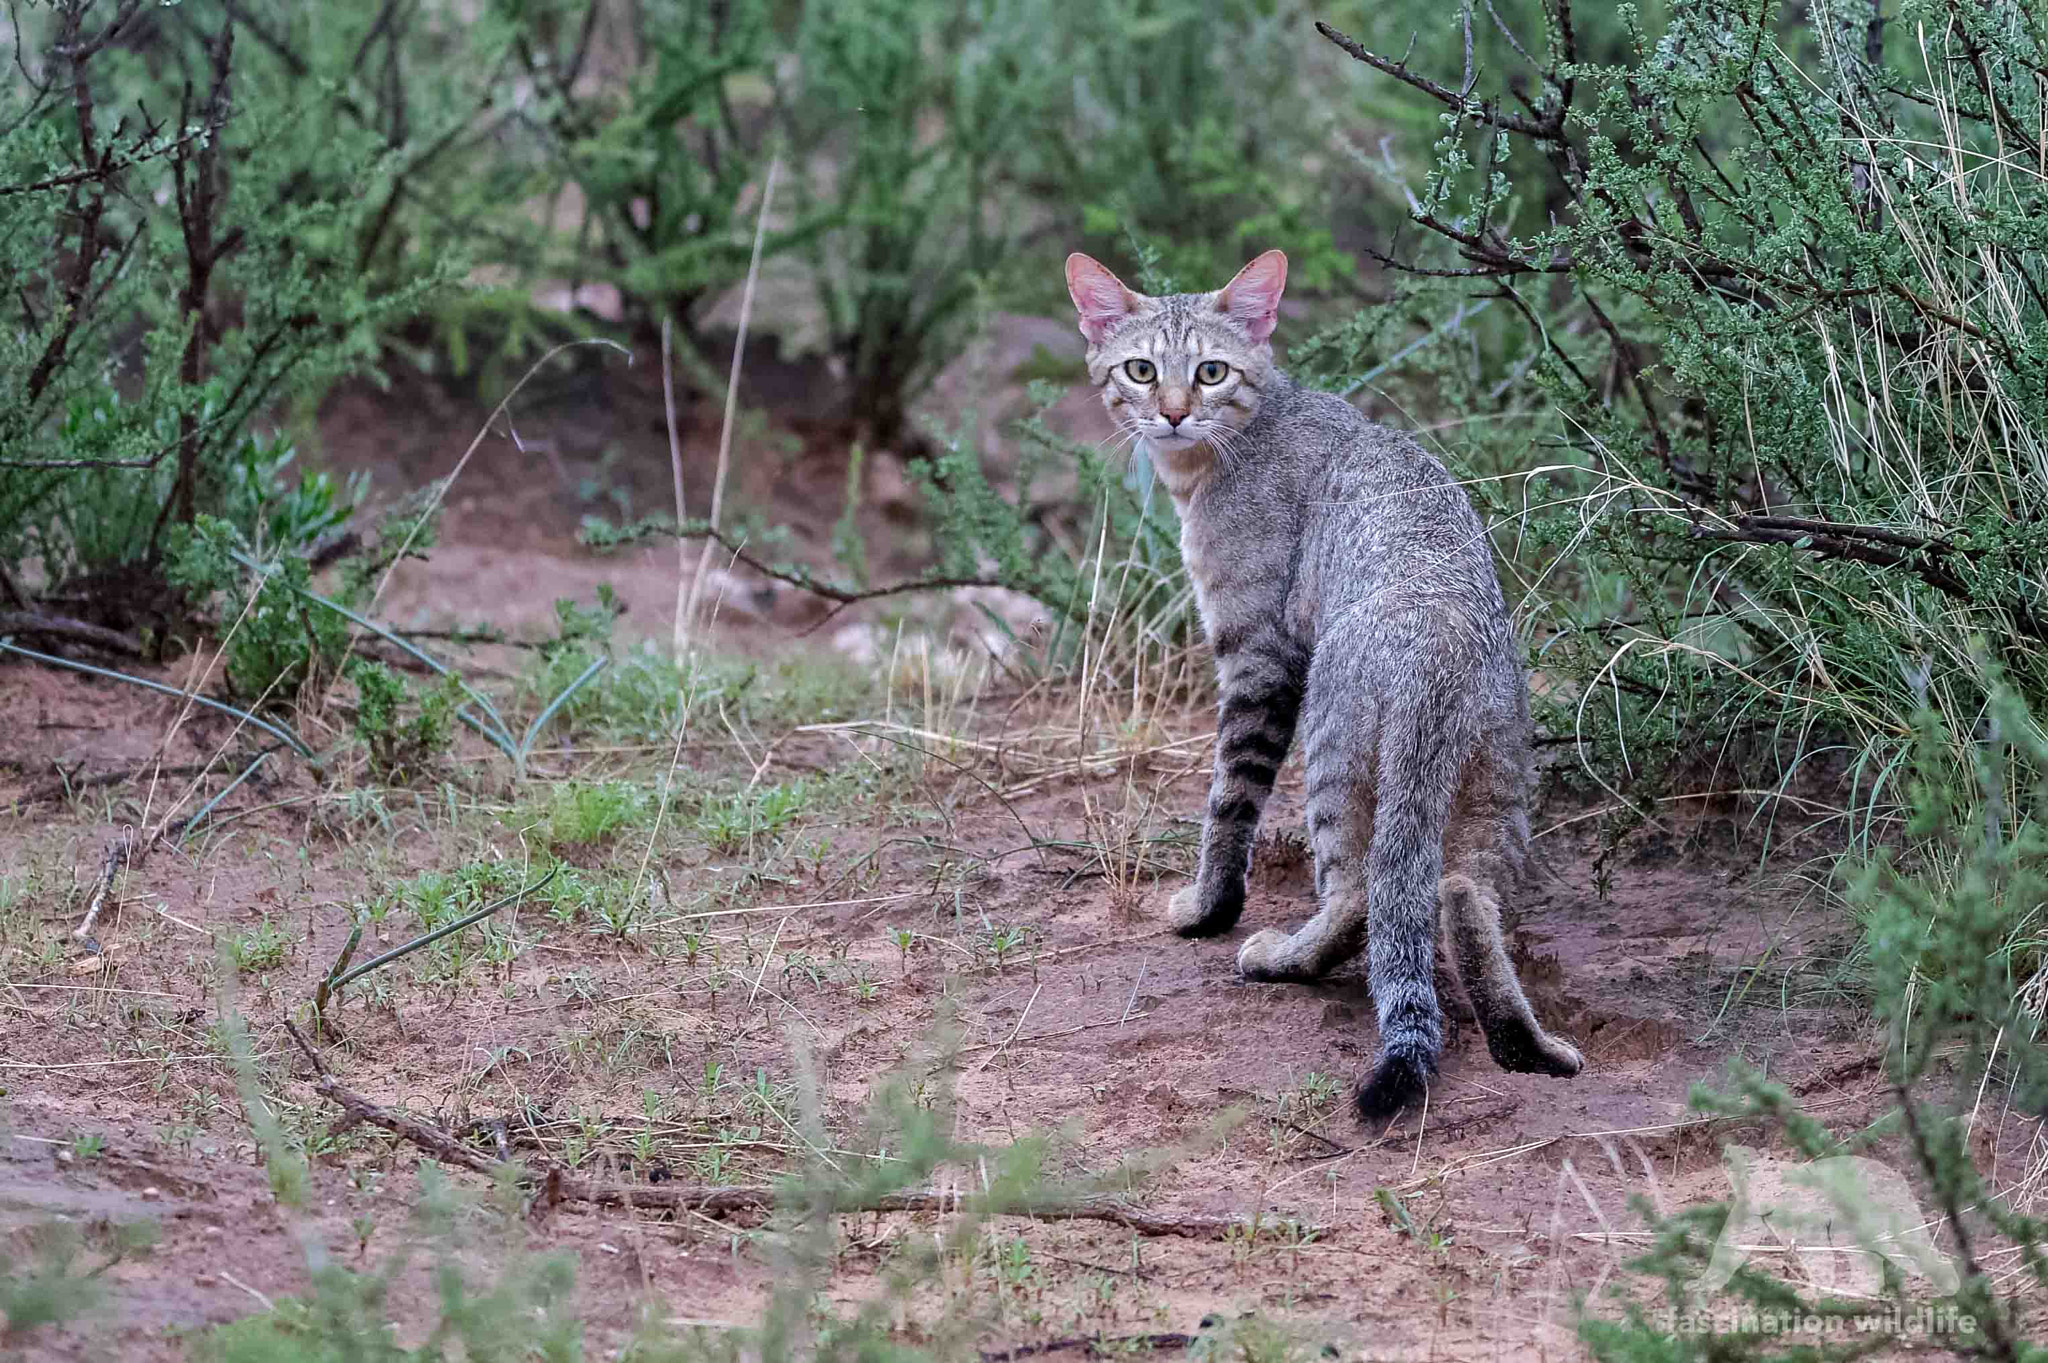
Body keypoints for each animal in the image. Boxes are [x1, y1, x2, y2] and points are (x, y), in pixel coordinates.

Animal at [1073, 249, 1581, 1121]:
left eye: (1210, 371)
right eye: (1140, 369)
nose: (1172, 414)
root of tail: (1437, 650)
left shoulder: (1257, 654)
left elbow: (1227, 800)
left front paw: (1206, 908)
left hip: (1332, 751)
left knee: (1359, 896)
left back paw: (1281, 957)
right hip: (1497, 785)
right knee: (1458, 895)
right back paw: (1526, 1044)